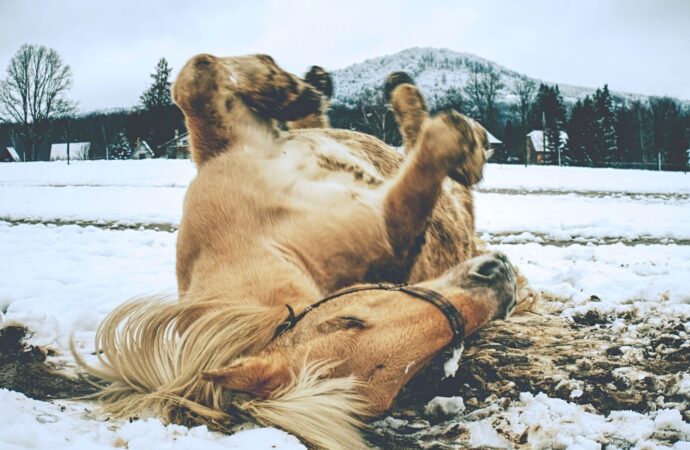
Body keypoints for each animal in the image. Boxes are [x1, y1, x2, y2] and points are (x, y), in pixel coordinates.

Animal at [74, 51, 528, 446]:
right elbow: (424, 168)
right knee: (430, 156)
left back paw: (323, 89)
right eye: (411, 377)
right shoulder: (388, 223)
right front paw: (460, 138)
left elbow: (195, 76)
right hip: (450, 219)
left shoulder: (229, 141)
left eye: (349, 318)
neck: (255, 239)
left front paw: (283, 87)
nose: (500, 279)